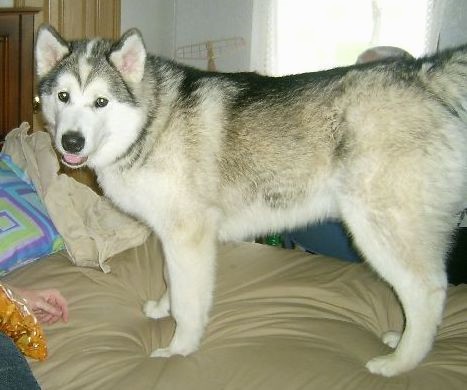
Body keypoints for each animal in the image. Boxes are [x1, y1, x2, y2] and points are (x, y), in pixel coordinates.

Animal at [34, 25, 467, 378]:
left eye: (101, 102)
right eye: (63, 96)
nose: (71, 141)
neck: (152, 122)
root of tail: (424, 75)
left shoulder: (189, 235)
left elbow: (190, 304)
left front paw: (179, 350)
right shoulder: (173, 238)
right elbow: (174, 281)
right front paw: (164, 308)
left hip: (379, 230)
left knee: (429, 293)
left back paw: (400, 362)